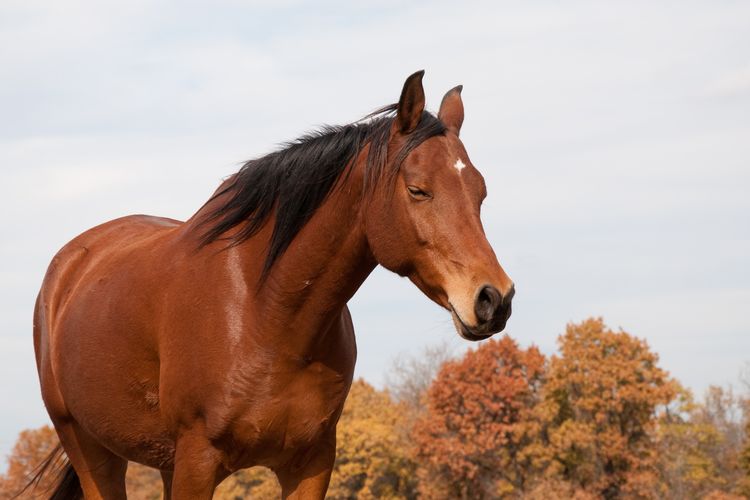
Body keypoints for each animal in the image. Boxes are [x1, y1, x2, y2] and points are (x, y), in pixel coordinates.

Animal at [32, 71, 516, 500]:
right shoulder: (197, 463)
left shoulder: (310, 463)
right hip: (91, 449)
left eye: (480, 192)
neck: (265, 311)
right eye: (418, 190)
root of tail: (70, 265)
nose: (494, 299)